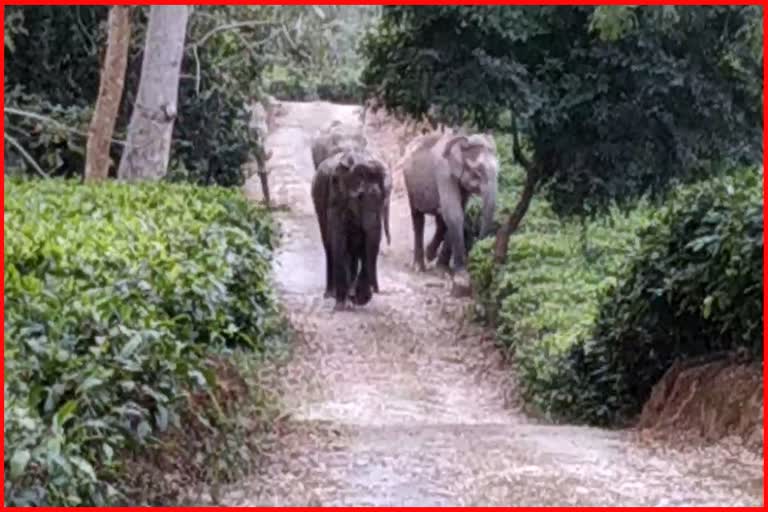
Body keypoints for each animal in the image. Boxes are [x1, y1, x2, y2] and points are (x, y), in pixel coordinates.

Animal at [308, 146, 388, 310]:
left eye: (383, 198)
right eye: (360, 197)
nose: (376, 290)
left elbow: (364, 247)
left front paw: (358, 298)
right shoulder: (335, 199)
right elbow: (339, 243)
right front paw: (342, 303)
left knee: (353, 251)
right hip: (319, 205)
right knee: (329, 246)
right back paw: (331, 294)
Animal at [400, 130, 500, 274]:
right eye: (477, 172)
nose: (478, 246)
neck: (463, 141)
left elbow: (457, 213)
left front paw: (443, 269)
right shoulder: (444, 173)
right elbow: (454, 213)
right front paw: (460, 271)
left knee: (440, 219)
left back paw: (430, 255)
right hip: (410, 185)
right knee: (418, 218)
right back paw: (419, 267)